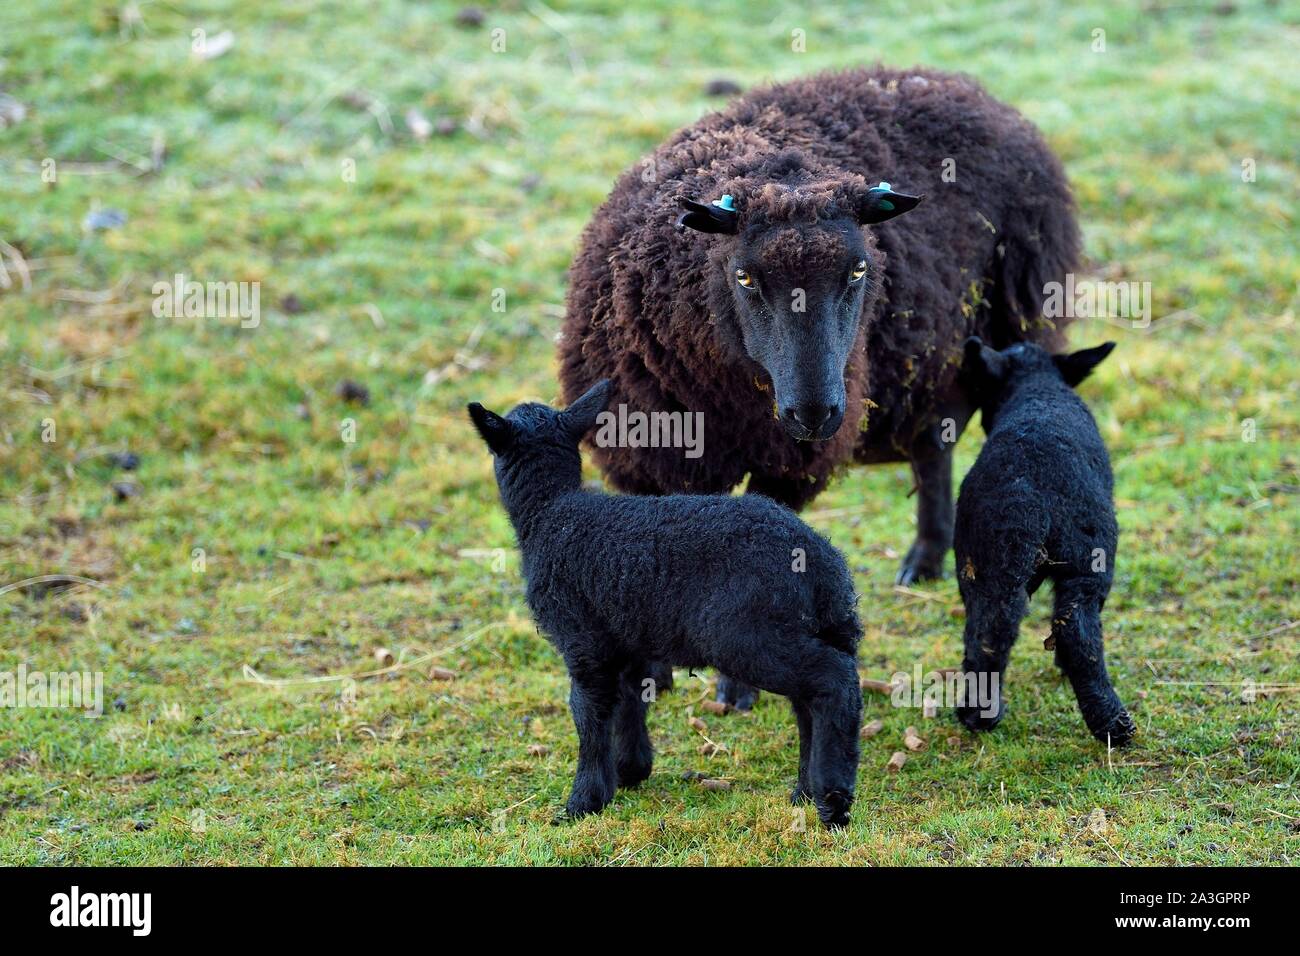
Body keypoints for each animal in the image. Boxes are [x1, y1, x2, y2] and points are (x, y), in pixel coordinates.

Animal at [467, 377, 863, 827]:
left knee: (834, 679)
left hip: (745, 633)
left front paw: (582, 802)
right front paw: (630, 771)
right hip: (808, 627)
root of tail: (820, 562)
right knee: (810, 702)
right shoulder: (627, 633)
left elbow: (587, 713)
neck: (550, 511)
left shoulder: (582, 638)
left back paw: (832, 801)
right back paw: (803, 791)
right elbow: (630, 700)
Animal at [559, 69, 1076, 712]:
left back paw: (926, 556)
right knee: (933, 440)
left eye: (859, 270)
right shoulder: (644, 449)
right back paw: (926, 557)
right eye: (744, 276)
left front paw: (737, 685)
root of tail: (956, 83)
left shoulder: (787, 460)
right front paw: (653, 671)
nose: (815, 413)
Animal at [951, 338, 1133, 749]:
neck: (1037, 385)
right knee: (1077, 629)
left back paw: (978, 713)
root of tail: (1036, 485)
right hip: (1091, 556)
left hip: (989, 559)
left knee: (990, 628)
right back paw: (1112, 722)